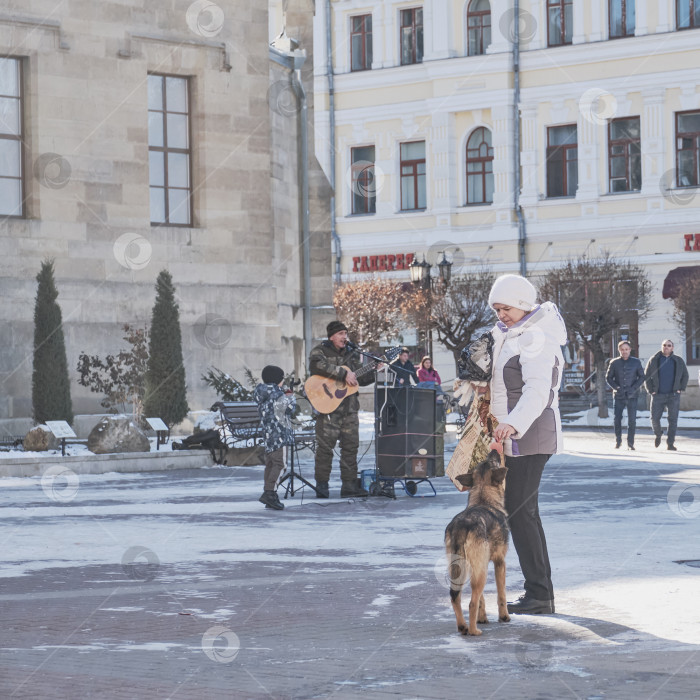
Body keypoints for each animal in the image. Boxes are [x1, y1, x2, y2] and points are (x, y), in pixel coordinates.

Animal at [442, 452, 508, 636]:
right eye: (493, 461)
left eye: (485, 461)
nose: (494, 451)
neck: (483, 499)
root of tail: (461, 524)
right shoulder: (500, 562)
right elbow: (501, 594)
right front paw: (504, 617)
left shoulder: (477, 566)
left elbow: (481, 599)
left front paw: (483, 617)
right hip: (481, 573)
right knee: (471, 603)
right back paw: (473, 630)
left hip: (461, 570)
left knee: (455, 596)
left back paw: (463, 626)